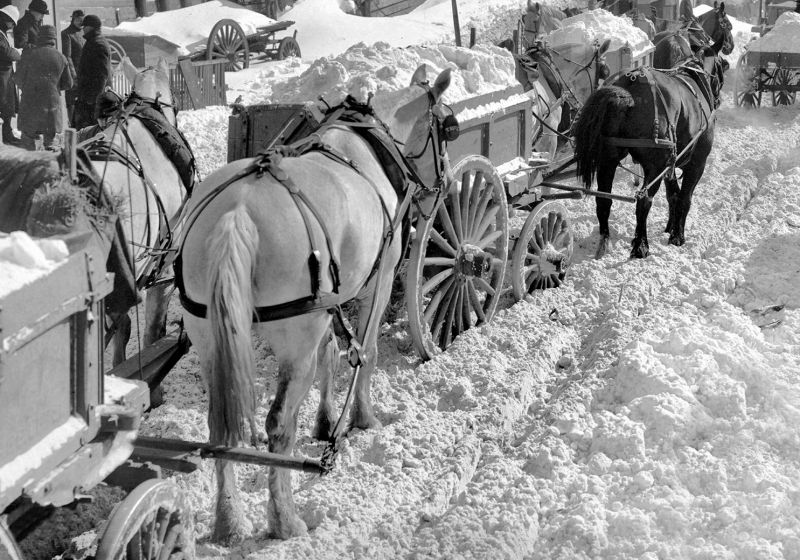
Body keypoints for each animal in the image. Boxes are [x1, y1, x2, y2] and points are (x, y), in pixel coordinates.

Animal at [180, 65, 454, 544]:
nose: (444, 184)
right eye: (447, 126)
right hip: (294, 338)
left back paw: (229, 522)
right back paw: (284, 520)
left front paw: (326, 421)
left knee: (220, 424)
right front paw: (362, 418)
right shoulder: (380, 279)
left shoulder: (328, 302)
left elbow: (331, 352)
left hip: (211, 335)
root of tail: (237, 212)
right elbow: (366, 352)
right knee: (277, 425)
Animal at [576, 38, 724, 258]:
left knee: (604, 200)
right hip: (654, 166)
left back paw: (605, 241)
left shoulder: (669, 165)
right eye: (723, 65)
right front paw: (677, 235)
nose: (718, 98)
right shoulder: (697, 164)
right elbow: (684, 198)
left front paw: (671, 227)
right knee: (643, 201)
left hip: (608, 159)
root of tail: (629, 87)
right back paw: (641, 245)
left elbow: (673, 195)